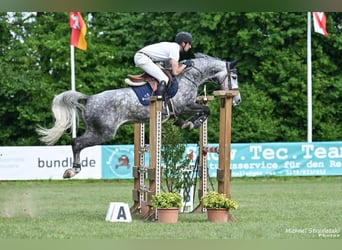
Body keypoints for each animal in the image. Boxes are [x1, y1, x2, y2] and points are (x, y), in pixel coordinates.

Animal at [36, 52, 240, 178]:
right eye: (235, 77)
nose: (237, 100)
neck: (190, 77)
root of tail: (90, 98)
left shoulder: (177, 111)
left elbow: (190, 116)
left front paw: (185, 124)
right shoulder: (185, 105)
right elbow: (206, 110)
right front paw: (193, 124)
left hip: (97, 131)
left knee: (76, 143)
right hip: (103, 133)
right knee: (76, 143)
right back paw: (73, 171)